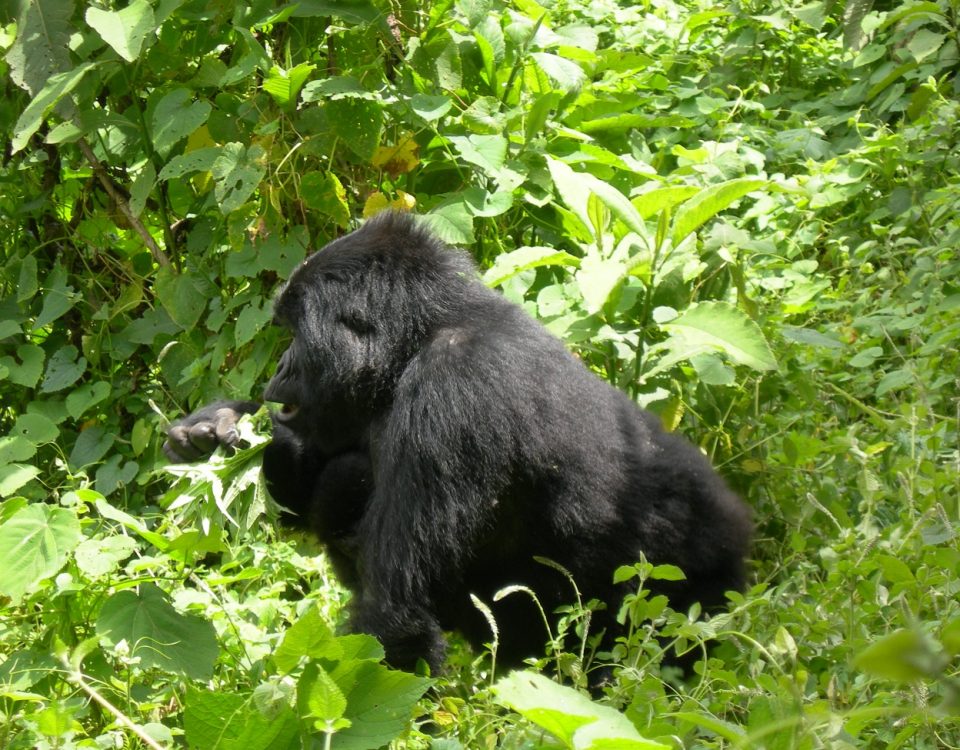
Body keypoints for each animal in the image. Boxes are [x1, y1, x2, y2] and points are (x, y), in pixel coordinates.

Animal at [163, 213, 752, 676]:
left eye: (294, 335)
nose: (280, 367)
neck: (417, 337)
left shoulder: (451, 394)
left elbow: (396, 617)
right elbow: (309, 483)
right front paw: (212, 430)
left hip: (690, 592)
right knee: (343, 480)